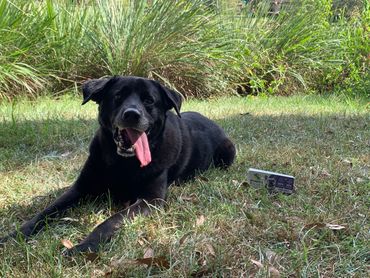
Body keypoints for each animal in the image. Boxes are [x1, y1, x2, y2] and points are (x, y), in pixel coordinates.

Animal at [0, 76, 236, 254]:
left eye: (149, 101)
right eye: (118, 96)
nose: (131, 114)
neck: (122, 164)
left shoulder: (150, 201)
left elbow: (110, 221)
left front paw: (85, 245)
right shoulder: (80, 189)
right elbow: (44, 213)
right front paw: (14, 235)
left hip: (229, 151)